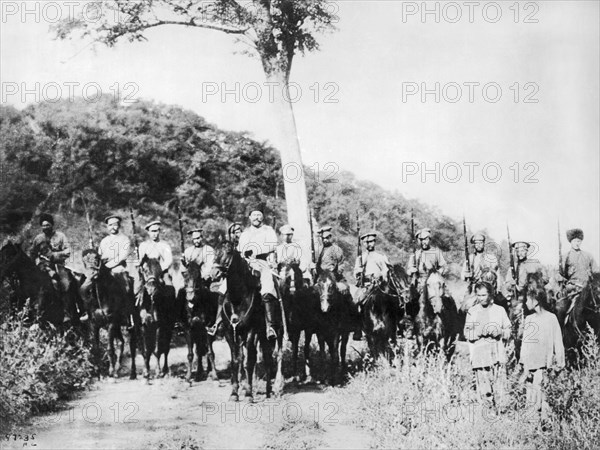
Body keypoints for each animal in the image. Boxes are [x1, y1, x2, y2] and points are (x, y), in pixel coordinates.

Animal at [77, 250, 137, 380]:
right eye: (84, 261)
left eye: (96, 258)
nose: (92, 275)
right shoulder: (94, 325)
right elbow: (96, 349)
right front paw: (99, 373)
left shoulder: (111, 323)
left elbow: (110, 349)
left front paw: (110, 372)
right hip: (118, 326)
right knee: (121, 342)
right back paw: (117, 369)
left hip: (129, 325)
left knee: (131, 346)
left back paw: (130, 373)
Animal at [213, 239, 284, 400]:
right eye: (214, 252)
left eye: (228, 252)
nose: (215, 273)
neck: (238, 299)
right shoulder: (230, 333)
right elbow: (235, 362)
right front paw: (234, 393)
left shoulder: (251, 331)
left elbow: (248, 362)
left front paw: (249, 394)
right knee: (265, 358)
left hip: (273, 333)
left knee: (271, 358)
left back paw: (272, 390)